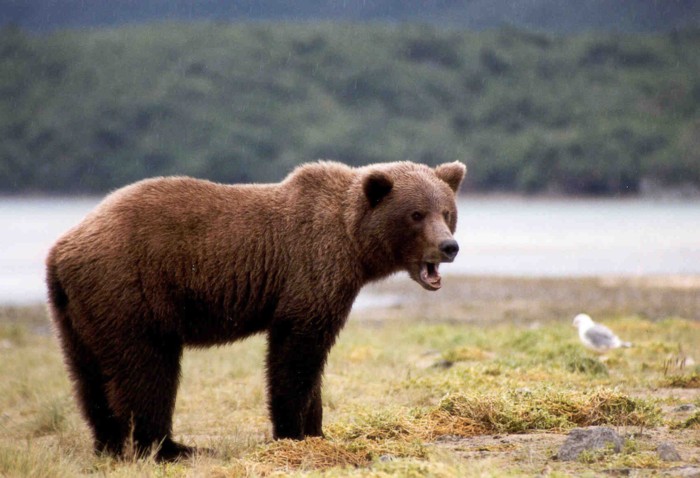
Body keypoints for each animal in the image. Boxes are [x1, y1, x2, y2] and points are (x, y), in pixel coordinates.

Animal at [46, 160, 468, 460]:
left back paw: (109, 444)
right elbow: (296, 355)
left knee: (88, 375)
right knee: (147, 368)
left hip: (78, 310)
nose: (449, 246)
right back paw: (170, 448)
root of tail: (61, 249)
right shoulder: (311, 270)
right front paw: (293, 431)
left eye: (447, 211)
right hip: (130, 291)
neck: (353, 242)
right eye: (416, 214)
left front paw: (316, 430)